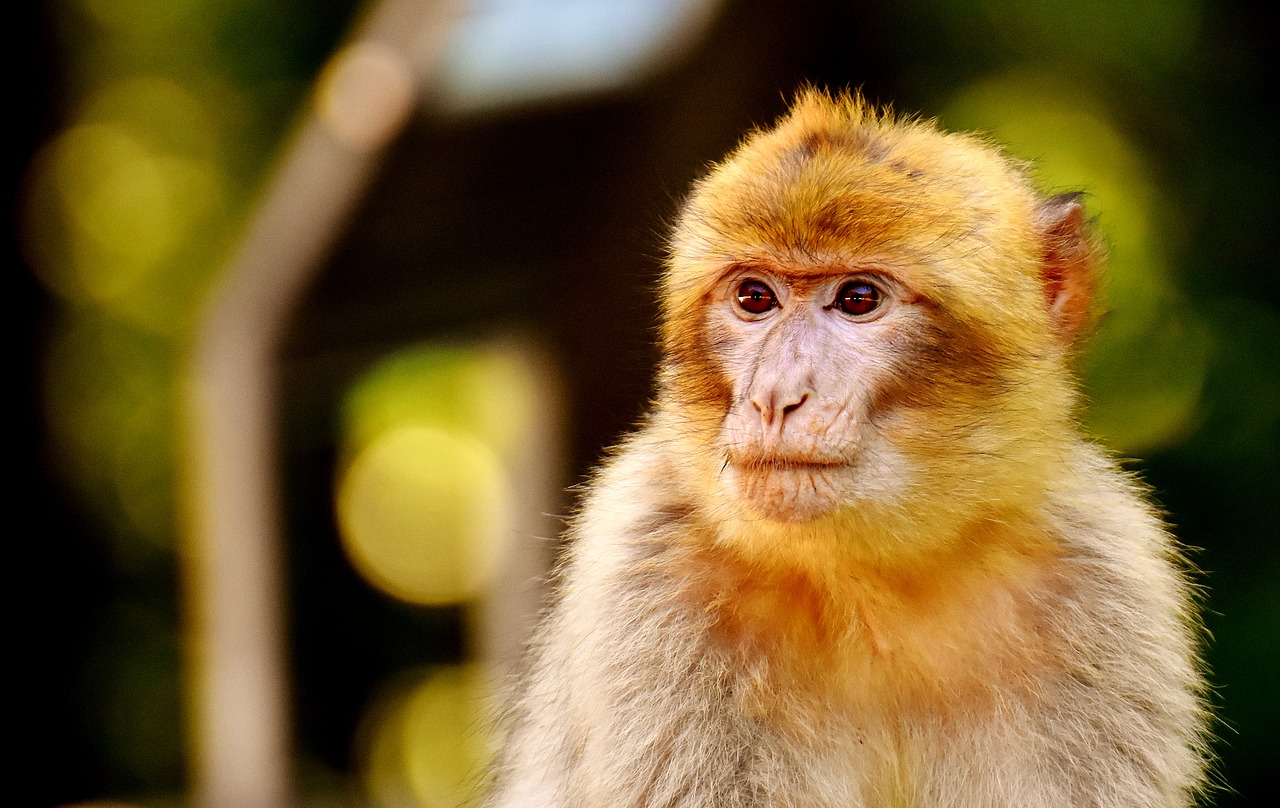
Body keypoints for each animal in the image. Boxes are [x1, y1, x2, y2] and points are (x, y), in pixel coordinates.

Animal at [481, 90, 1208, 808]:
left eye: (858, 299)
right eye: (755, 297)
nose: (775, 397)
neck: (868, 579)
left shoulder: (1103, 586)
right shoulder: (649, 571)